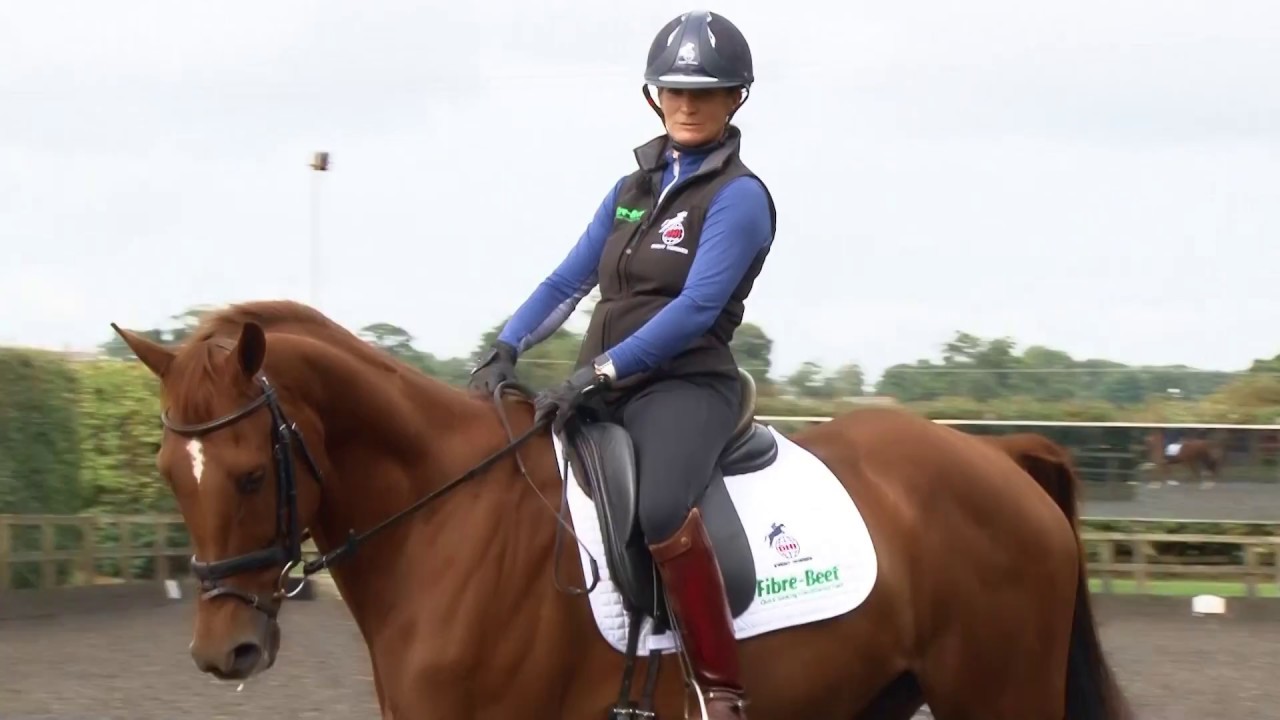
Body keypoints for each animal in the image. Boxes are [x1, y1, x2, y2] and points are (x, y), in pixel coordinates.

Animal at [110, 300, 1132, 720]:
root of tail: (1001, 458)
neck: (445, 528)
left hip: (996, 694)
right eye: (168, 472)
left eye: (249, 475)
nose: (226, 652)